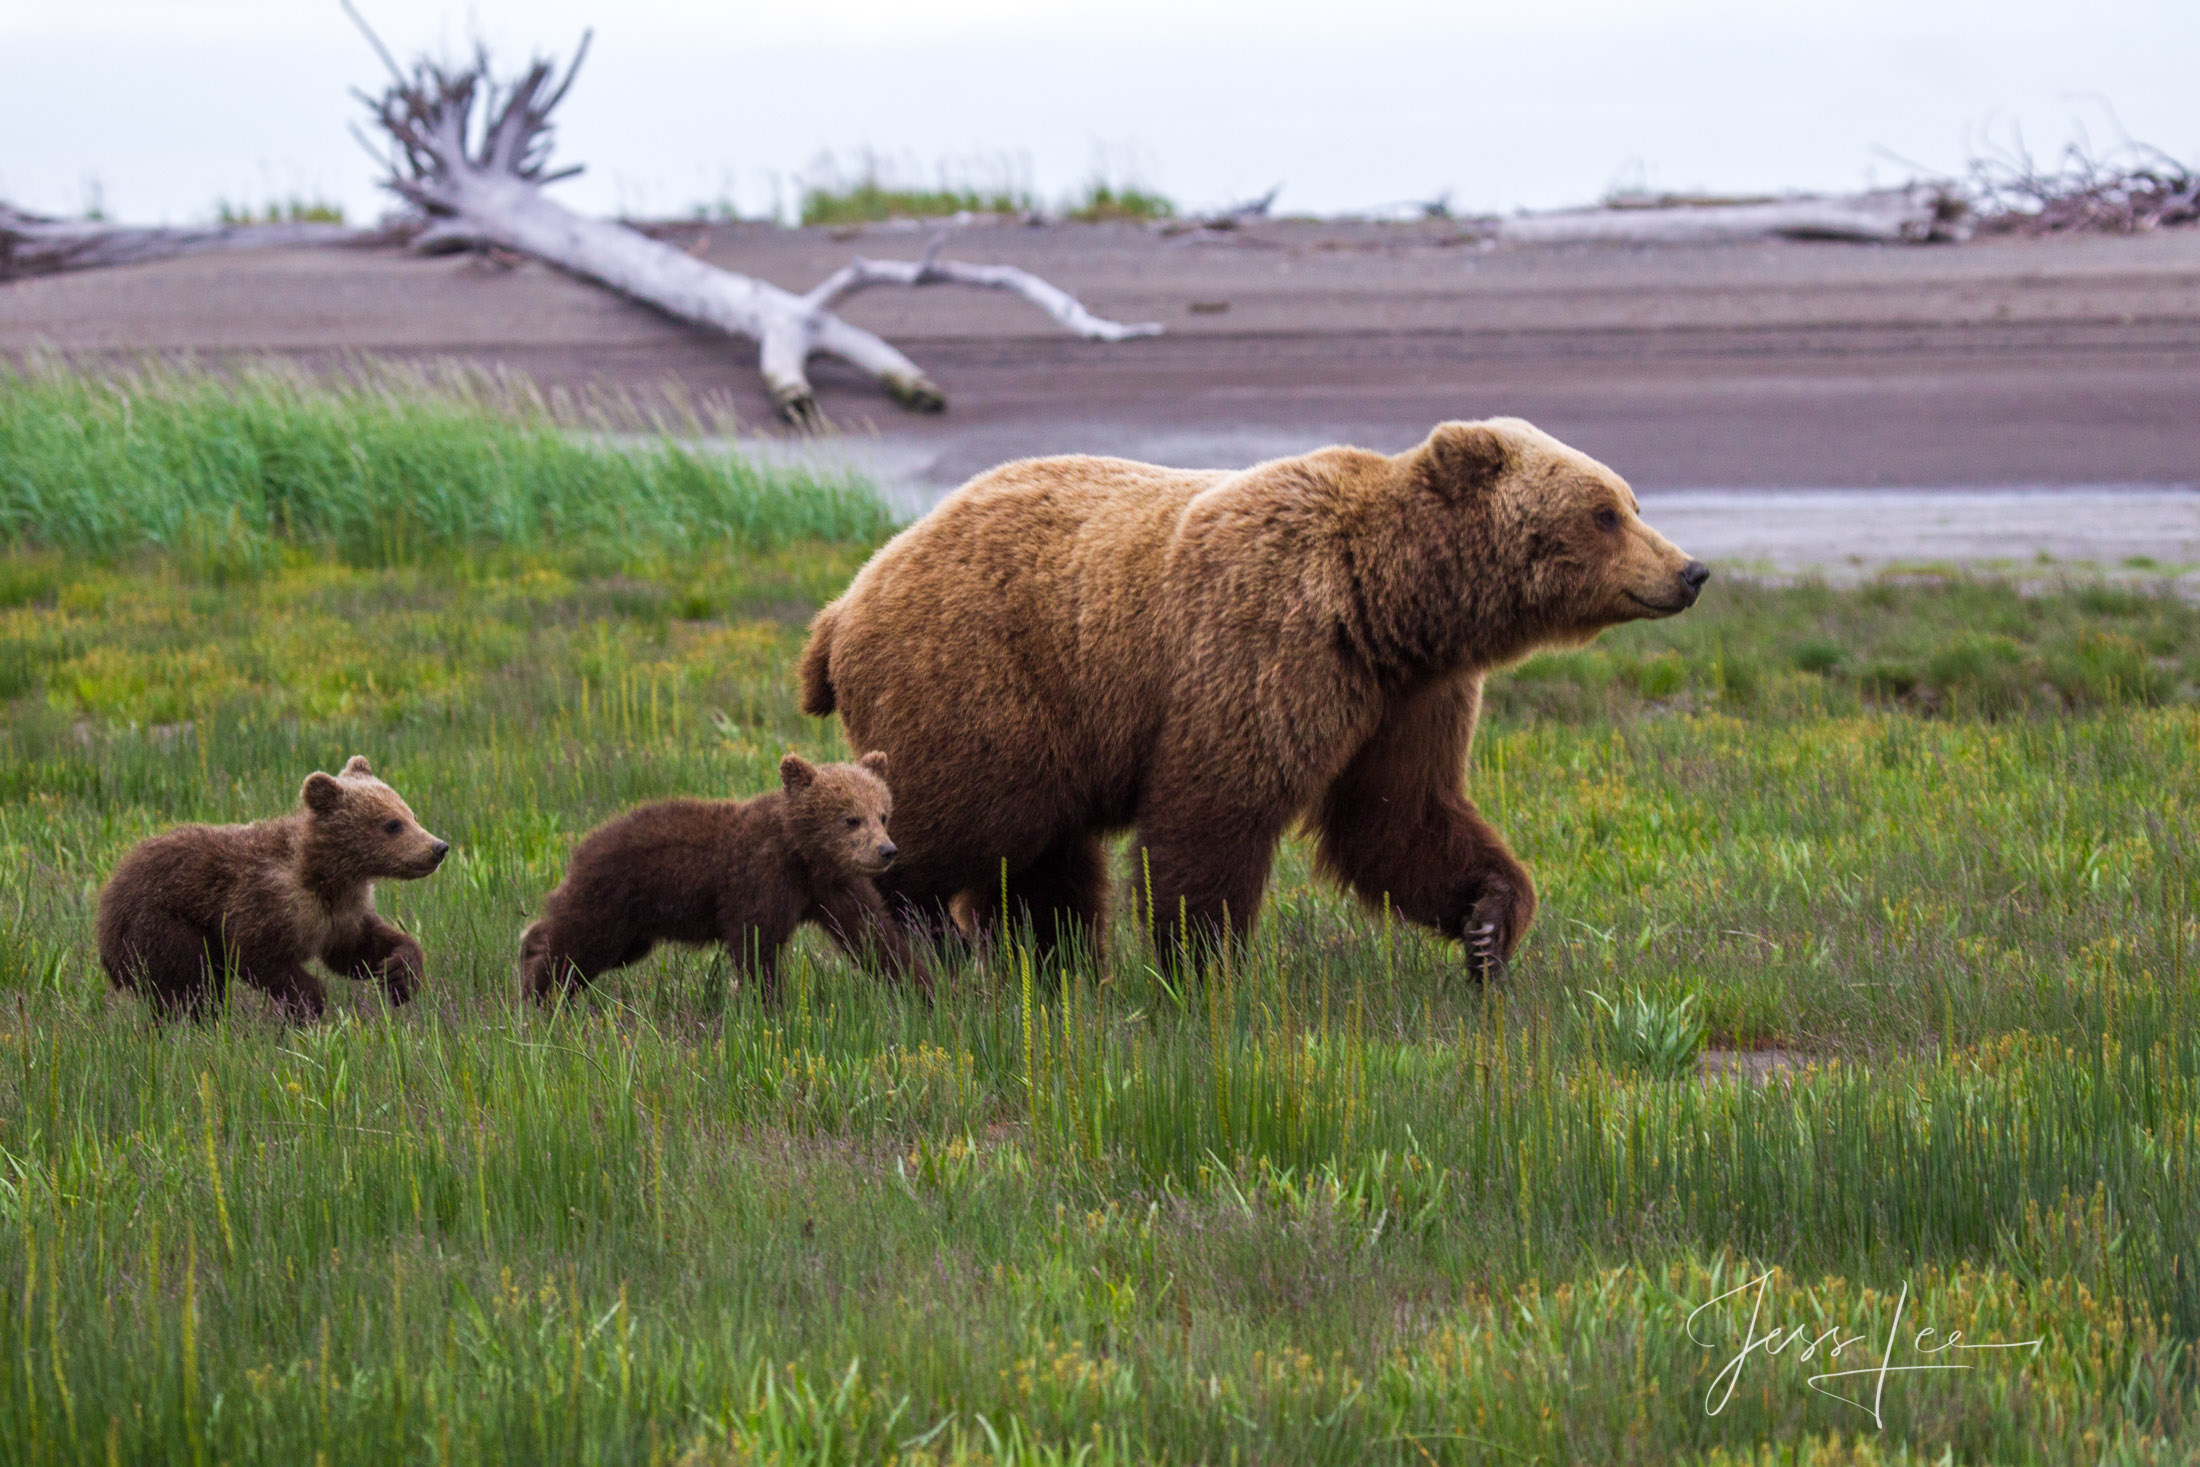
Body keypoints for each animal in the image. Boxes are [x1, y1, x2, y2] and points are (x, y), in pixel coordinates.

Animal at [800, 417, 1707, 976]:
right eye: (1603, 512)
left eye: (1631, 501)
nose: (1691, 569)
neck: (1385, 604)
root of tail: (844, 602)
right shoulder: (1265, 641)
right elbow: (1215, 808)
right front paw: (1205, 967)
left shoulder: (1408, 696)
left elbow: (1400, 816)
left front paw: (1487, 924)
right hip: (985, 680)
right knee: (968, 820)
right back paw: (926, 936)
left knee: (1045, 860)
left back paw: (1057, 964)